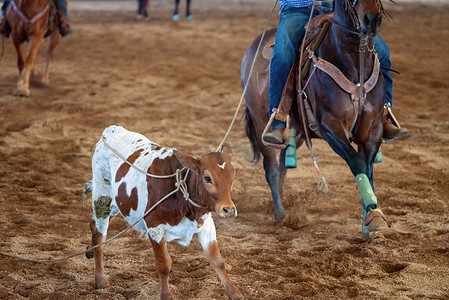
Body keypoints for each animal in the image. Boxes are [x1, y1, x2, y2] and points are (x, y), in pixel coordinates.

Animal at [84, 125, 245, 298]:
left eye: (232, 177)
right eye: (207, 178)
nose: (229, 209)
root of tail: (111, 130)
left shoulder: (206, 226)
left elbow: (217, 260)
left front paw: (235, 293)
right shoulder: (154, 227)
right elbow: (164, 265)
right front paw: (166, 295)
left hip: (116, 204)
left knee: (93, 224)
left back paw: (90, 252)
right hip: (102, 197)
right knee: (99, 235)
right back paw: (100, 278)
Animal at [242, 0, 388, 239]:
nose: (372, 20)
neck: (352, 62)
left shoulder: (373, 129)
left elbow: (367, 169)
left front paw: (370, 217)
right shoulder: (330, 126)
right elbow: (356, 162)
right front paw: (373, 216)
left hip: (300, 130)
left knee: (283, 160)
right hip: (260, 119)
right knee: (271, 166)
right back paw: (280, 214)